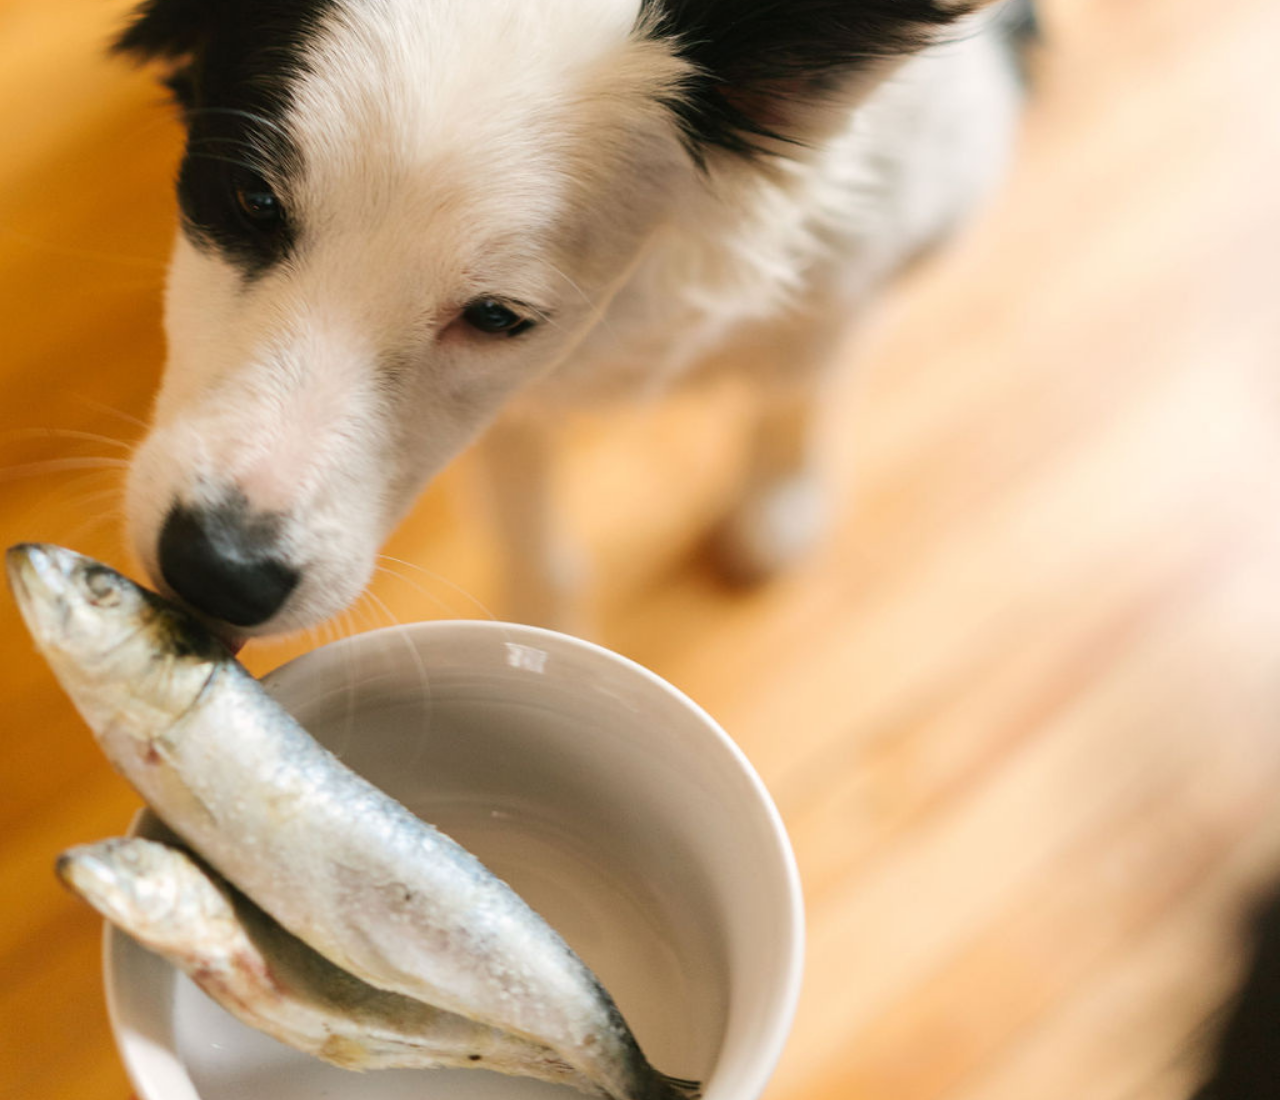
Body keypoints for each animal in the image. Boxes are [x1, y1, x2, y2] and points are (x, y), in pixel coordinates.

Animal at [107, 0, 1029, 637]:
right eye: (251, 200)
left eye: (497, 317)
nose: (217, 573)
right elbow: (525, 513)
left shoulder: (881, 230)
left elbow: (805, 366)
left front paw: (781, 497)